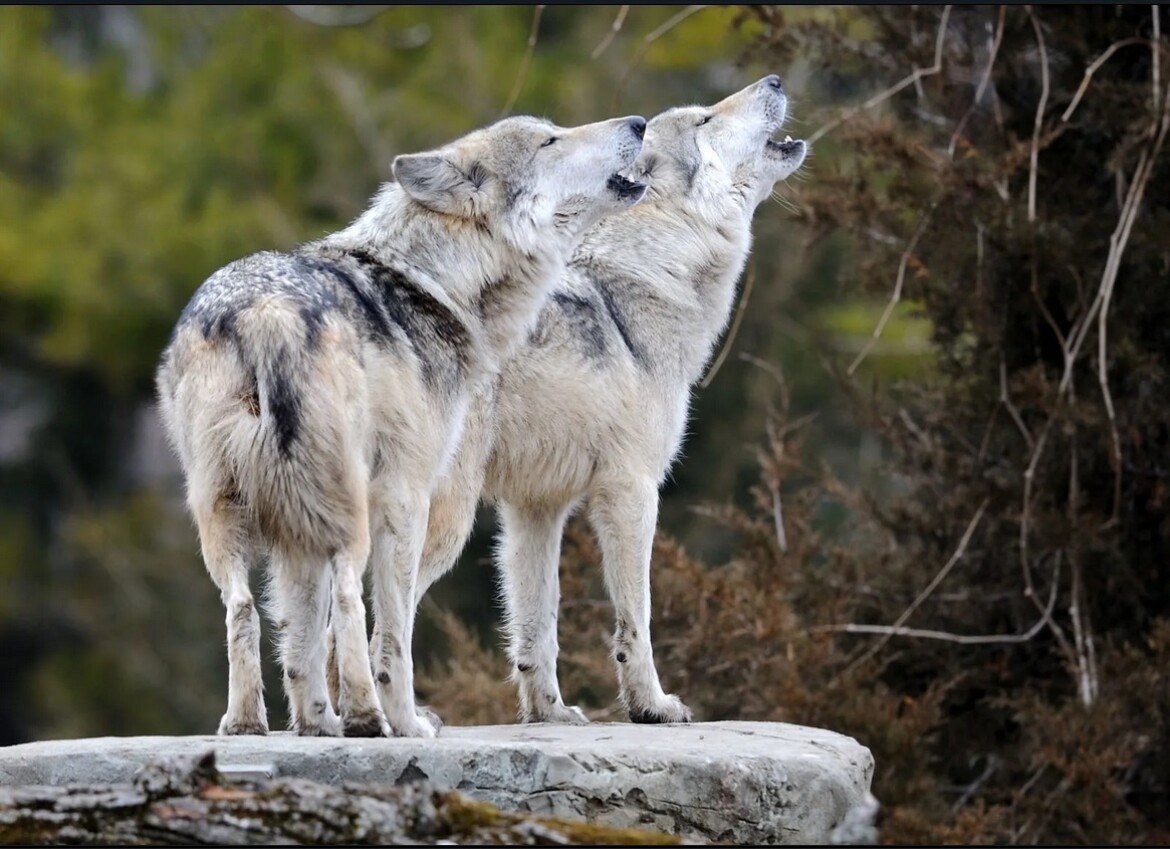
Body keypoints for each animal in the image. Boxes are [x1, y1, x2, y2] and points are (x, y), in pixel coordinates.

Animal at [153, 112, 650, 739]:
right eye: (550, 140)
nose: (638, 122)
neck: (433, 282)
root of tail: (267, 312)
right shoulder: (407, 495)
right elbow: (392, 634)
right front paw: (403, 720)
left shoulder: (296, 532)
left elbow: (301, 642)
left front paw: (315, 723)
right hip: (350, 510)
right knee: (349, 600)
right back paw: (372, 719)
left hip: (227, 512)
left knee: (243, 608)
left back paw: (249, 725)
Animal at [416, 74, 809, 725]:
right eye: (704, 119)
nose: (776, 79)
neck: (645, 280)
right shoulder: (632, 490)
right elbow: (636, 620)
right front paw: (651, 706)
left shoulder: (535, 510)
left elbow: (537, 627)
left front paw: (548, 715)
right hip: (446, 521)